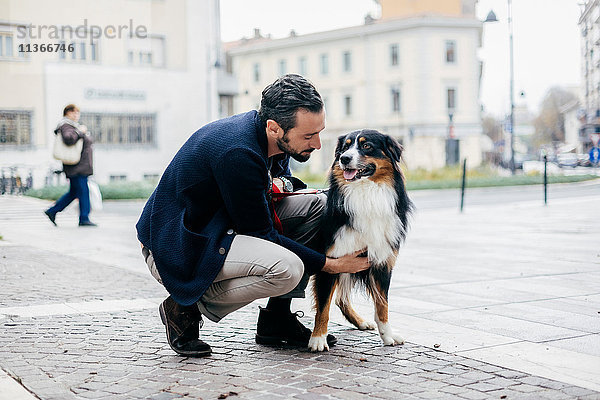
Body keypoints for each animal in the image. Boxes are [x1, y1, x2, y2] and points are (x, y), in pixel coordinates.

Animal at [310, 130, 412, 352]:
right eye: (345, 147)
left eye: (366, 146)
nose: (344, 158)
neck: (366, 193)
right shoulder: (331, 261)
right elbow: (323, 307)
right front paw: (318, 339)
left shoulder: (382, 261)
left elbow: (383, 306)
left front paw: (387, 335)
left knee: (341, 298)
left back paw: (361, 322)